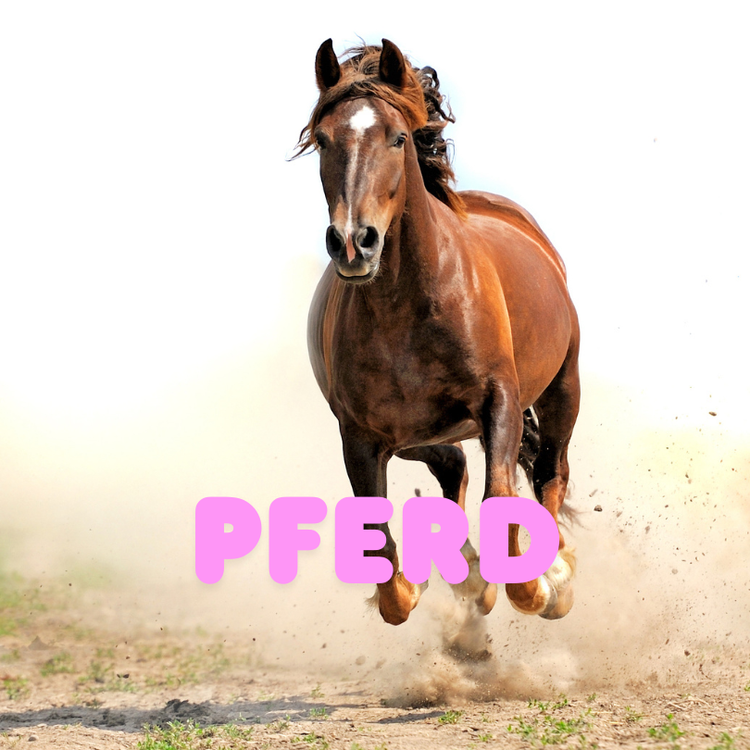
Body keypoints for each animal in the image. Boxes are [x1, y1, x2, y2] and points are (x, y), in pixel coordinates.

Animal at [296, 39, 580, 626]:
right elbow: (386, 575)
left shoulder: (500, 400)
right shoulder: (362, 436)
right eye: (322, 141)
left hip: (563, 386)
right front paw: (451, 581)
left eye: (398, 137)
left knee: (550, 471)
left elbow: (502, 498)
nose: (353, 243)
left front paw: (538, 586)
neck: (408, 309)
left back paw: (557, 574)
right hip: (418, 437)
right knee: (455, 465)